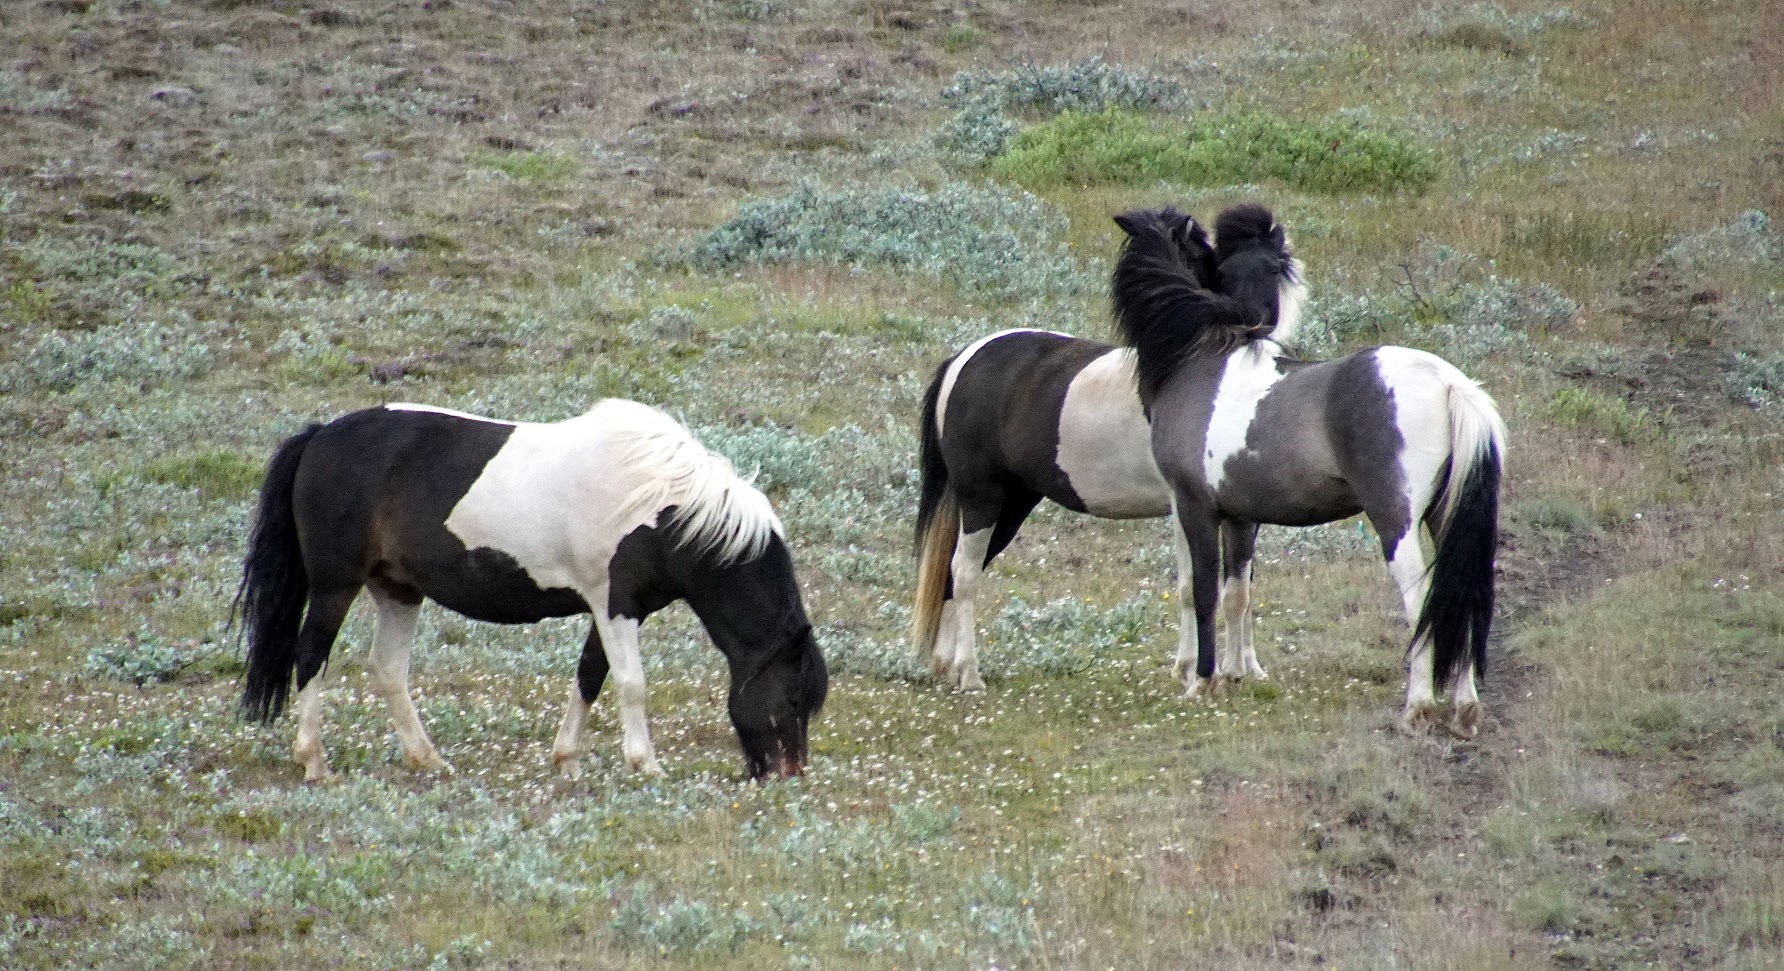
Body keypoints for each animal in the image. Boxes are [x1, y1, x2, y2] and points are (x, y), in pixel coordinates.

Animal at [231, 398, 834, 785]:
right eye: (793, 698)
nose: (788, 777)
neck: (662, 506)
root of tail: (322, 435)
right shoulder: (614, 607)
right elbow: (631, 684)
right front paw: (646, 764)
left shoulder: (614, 609)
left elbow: (590, 677)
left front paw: (567, 759)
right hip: (336, 586)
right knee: (311, 657)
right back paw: (314, 761)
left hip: (398, 590)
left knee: (387, 670)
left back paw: (427, 759)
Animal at [913, 210, 1291, 688]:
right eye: (1219, 269)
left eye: (1274, 268)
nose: (1253, 326)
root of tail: (964, 359)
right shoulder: (1184, 506)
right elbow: (1192, 586)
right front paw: (1191, 670)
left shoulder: (1241, 514)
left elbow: (1239, 586)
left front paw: (1246, 670)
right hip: (982, 497)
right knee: (963, 574)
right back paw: (969, 674)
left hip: (1013, 502)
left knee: (953, 571)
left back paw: (945, 665)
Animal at [1113, 205, 1505, 735]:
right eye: (1216, 261)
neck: (1201, 360)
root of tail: (1447, 383)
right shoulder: (1241, 518)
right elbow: (1238, 593)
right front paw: (1238, 675)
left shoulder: (1194, 508)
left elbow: (1202, 591)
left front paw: (1202, 682)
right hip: (1447, 515)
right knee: (1459, 594)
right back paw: (1465, 708)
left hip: (1396, 521)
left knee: (1422, 599)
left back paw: (1418, 706)